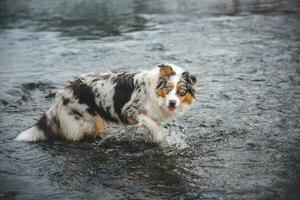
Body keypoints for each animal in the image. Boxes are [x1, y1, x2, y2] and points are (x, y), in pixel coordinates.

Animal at [15, 63, 197, 143]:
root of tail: (61, 94)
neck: (153, 92)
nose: (172, 103)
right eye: (168, 88)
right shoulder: (129, 110)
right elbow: (152, 124)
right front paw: (159, 138)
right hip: (83, 122)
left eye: (182, 91)